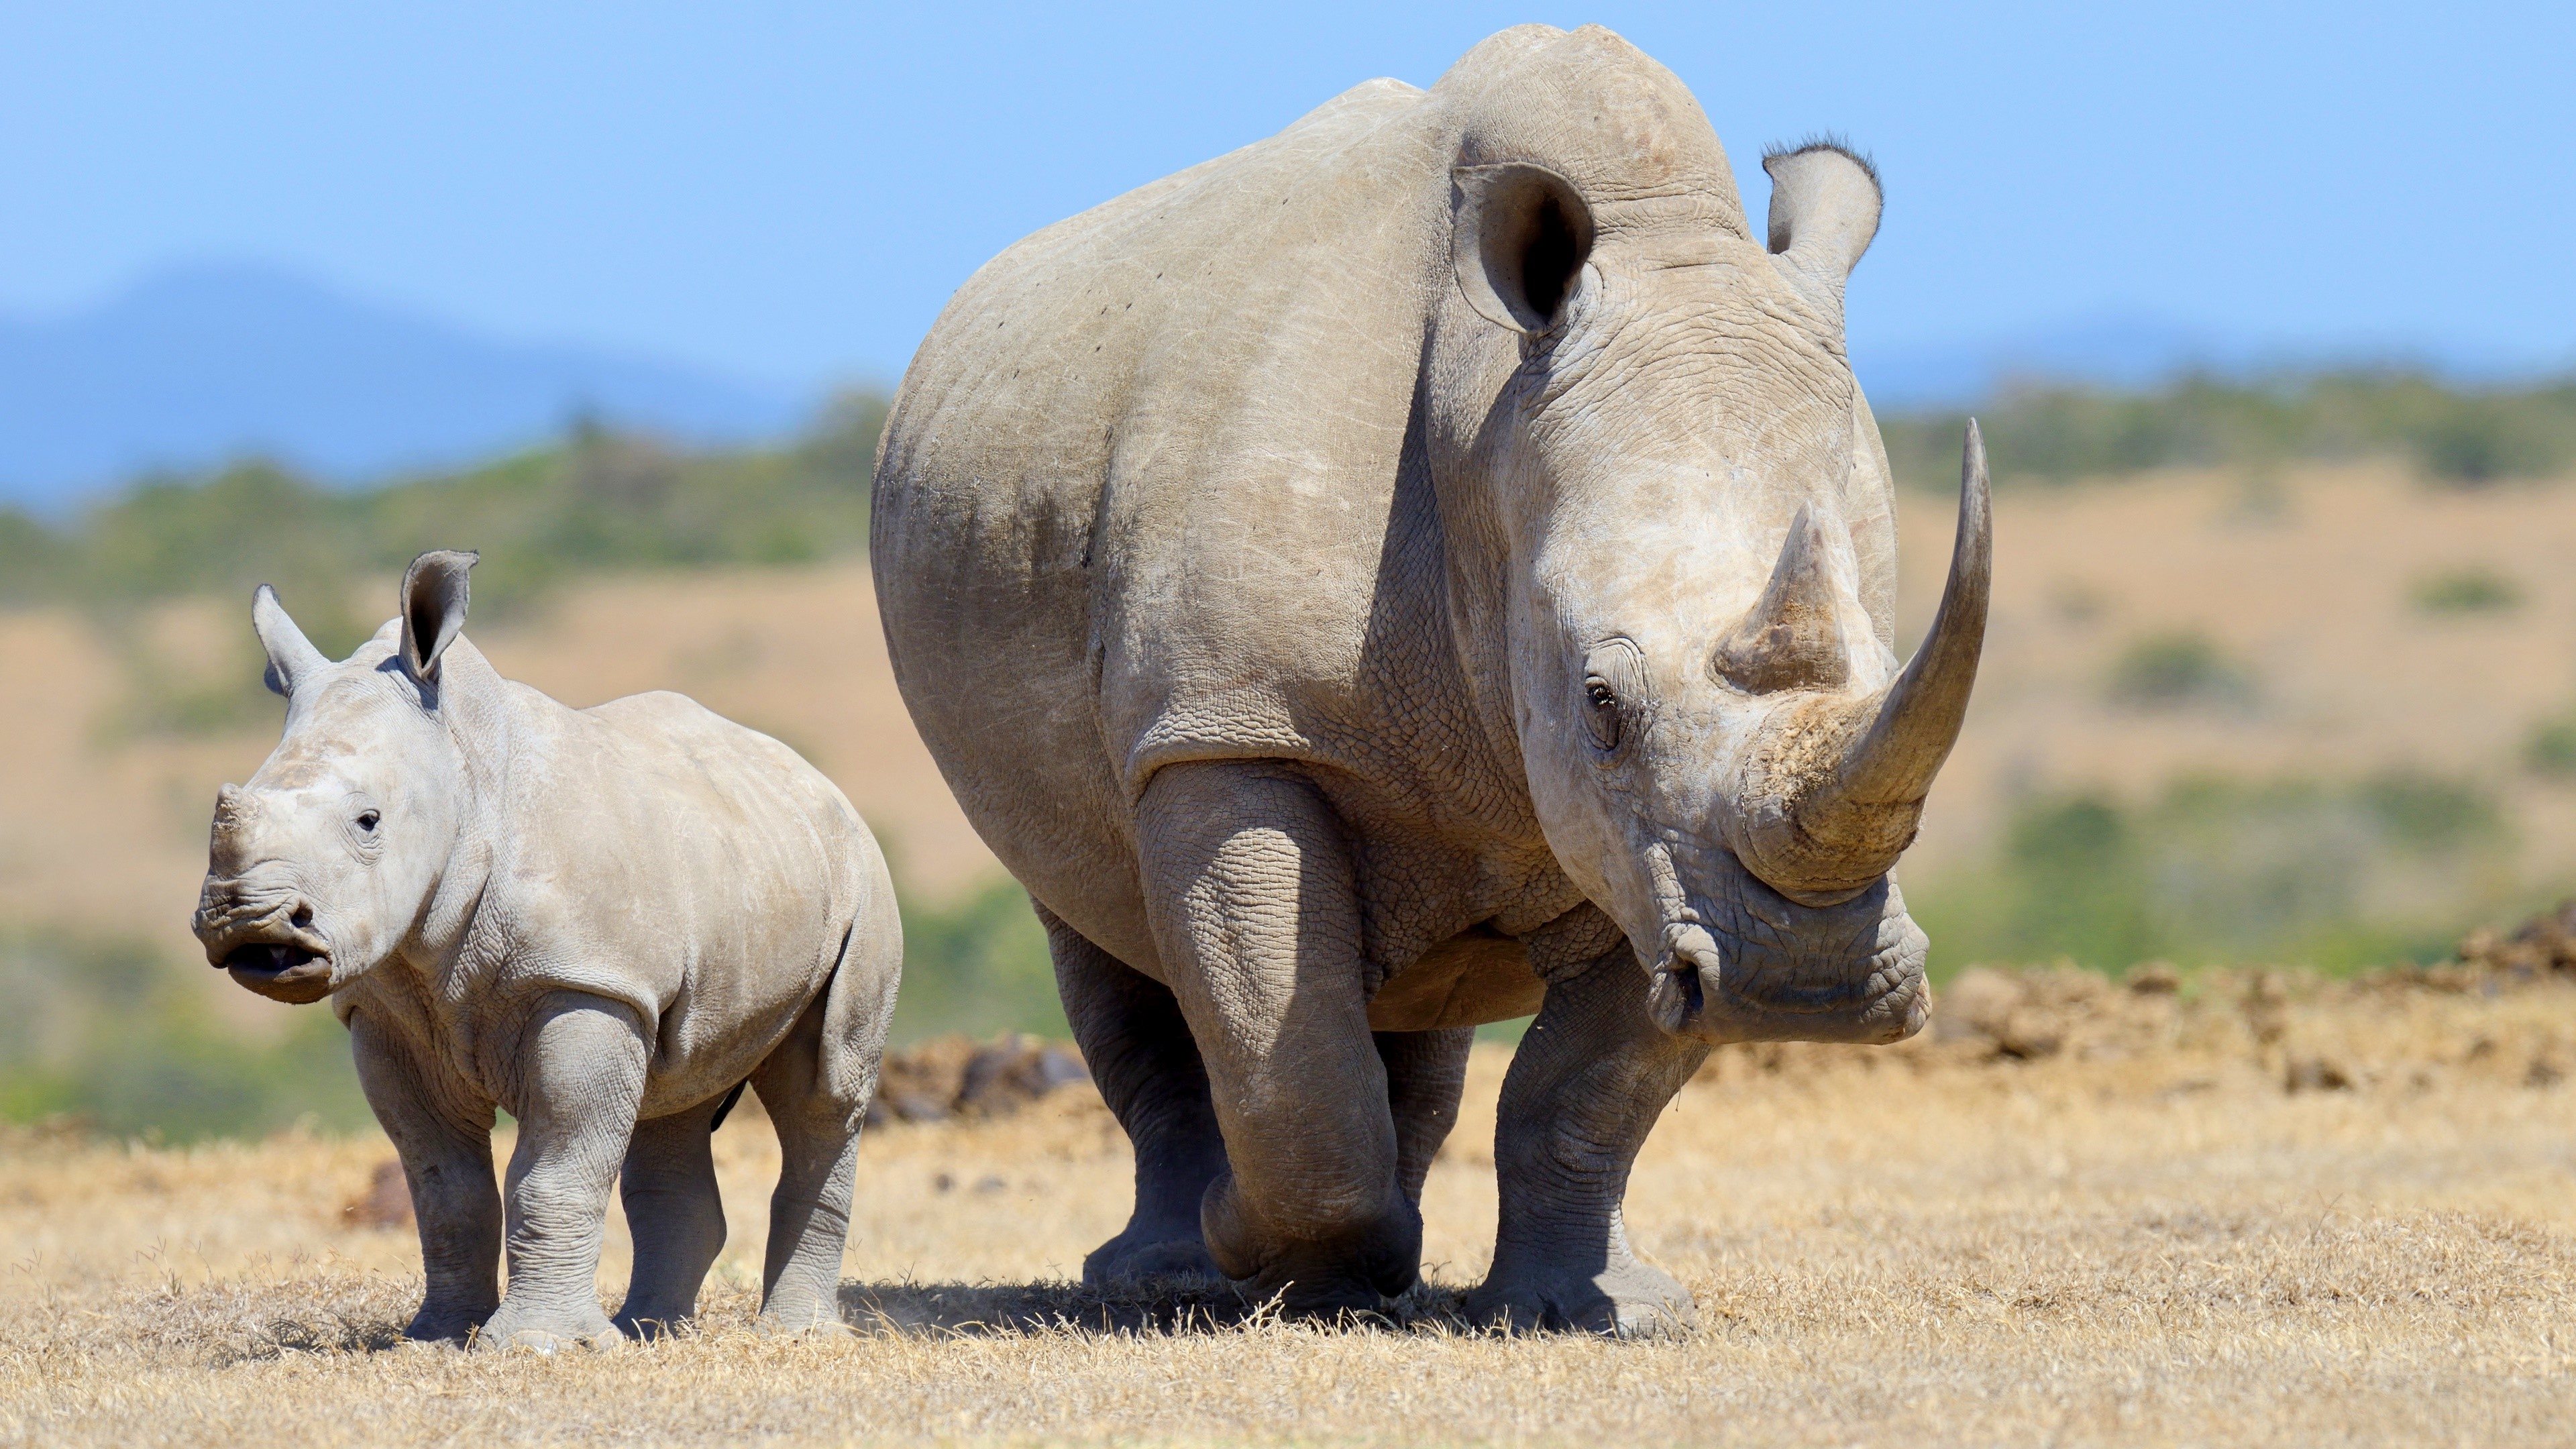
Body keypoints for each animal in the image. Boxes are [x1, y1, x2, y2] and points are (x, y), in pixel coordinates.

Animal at [191, 551, 901, 1349]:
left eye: (368, 821)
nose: (251, 925)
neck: (464, 773)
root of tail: (817, 781)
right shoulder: (385, 1011)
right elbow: (443, 1187)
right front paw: (439, 1337)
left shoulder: (585, 981)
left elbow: (553, 1171)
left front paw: (536, 1345)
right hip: (719, 880)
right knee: (673, 1088)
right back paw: (648, 1331)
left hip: (862, 880)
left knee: (824, 1087)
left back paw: (793, 1336)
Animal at [872, 24, 1988, 1333]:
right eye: (1602, 706)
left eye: (1892, 676)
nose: (1808, 983)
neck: (1484, 422)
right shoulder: (1228, 723)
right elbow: (1284, 1062)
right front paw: (1264, 1259)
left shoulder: (1656, 854)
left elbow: (1585, 1087)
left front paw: (1592, 1310)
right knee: (1101, 926)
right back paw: (1179, 1277)